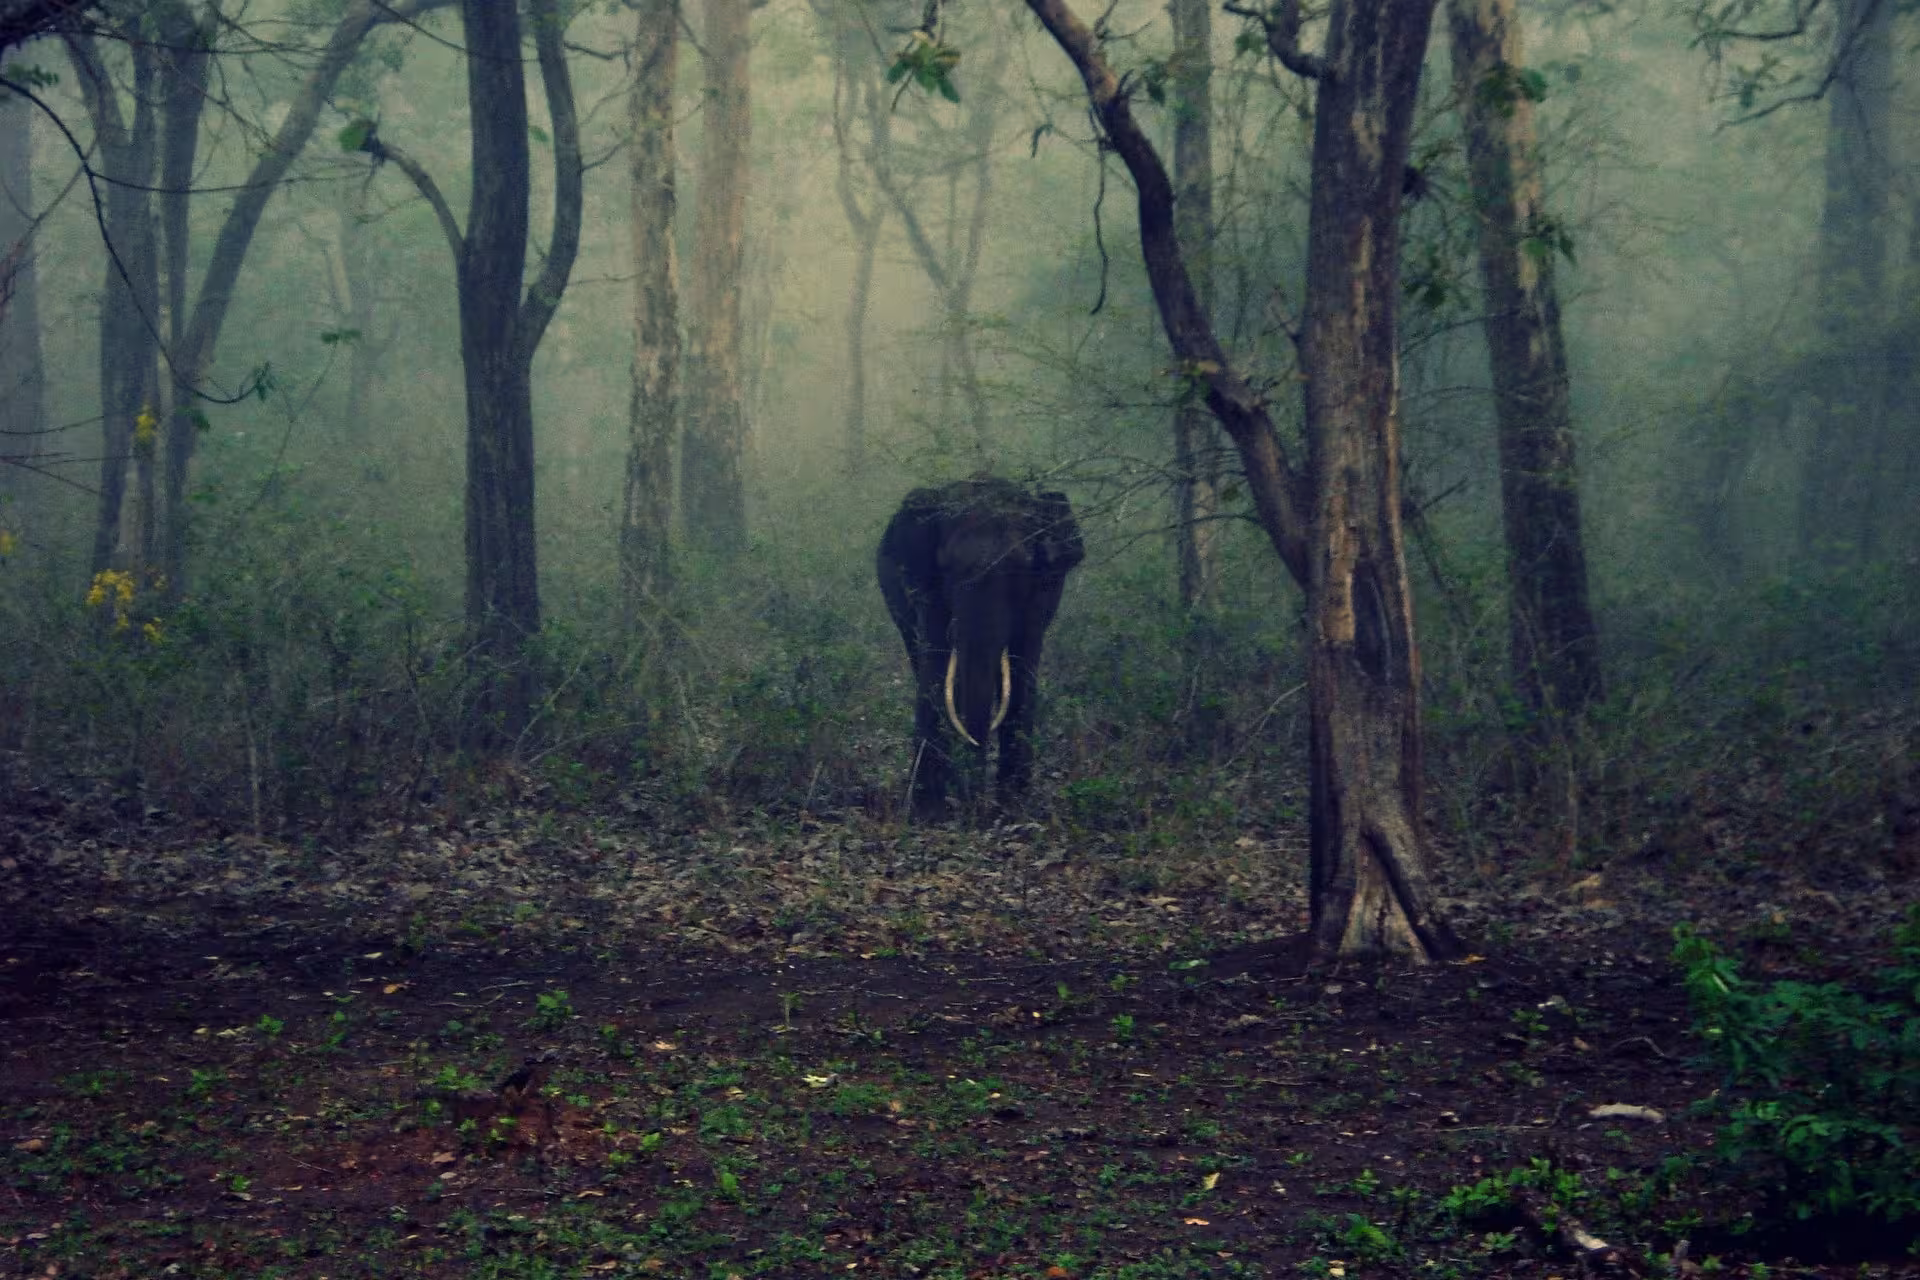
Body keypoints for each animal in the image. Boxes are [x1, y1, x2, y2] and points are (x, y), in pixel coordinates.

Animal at [877, 476, 1085, 821]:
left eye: (1020, 570)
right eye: (947, 567)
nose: (974, 808)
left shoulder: (1045, 588)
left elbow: (1023, 667)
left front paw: (1013, 806)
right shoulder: (926, 587)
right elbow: (935, 664)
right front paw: (926, 812)